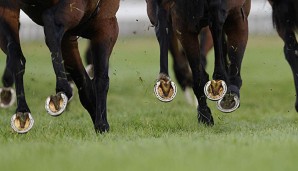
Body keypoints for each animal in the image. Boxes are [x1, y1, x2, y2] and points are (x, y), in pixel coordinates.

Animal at [0, 0, 118, 134]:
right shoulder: (105, 23)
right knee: (50, 22)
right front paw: (102, 124)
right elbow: (99, 79)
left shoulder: (76, 34)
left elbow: (90, 82)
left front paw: (99, 120)